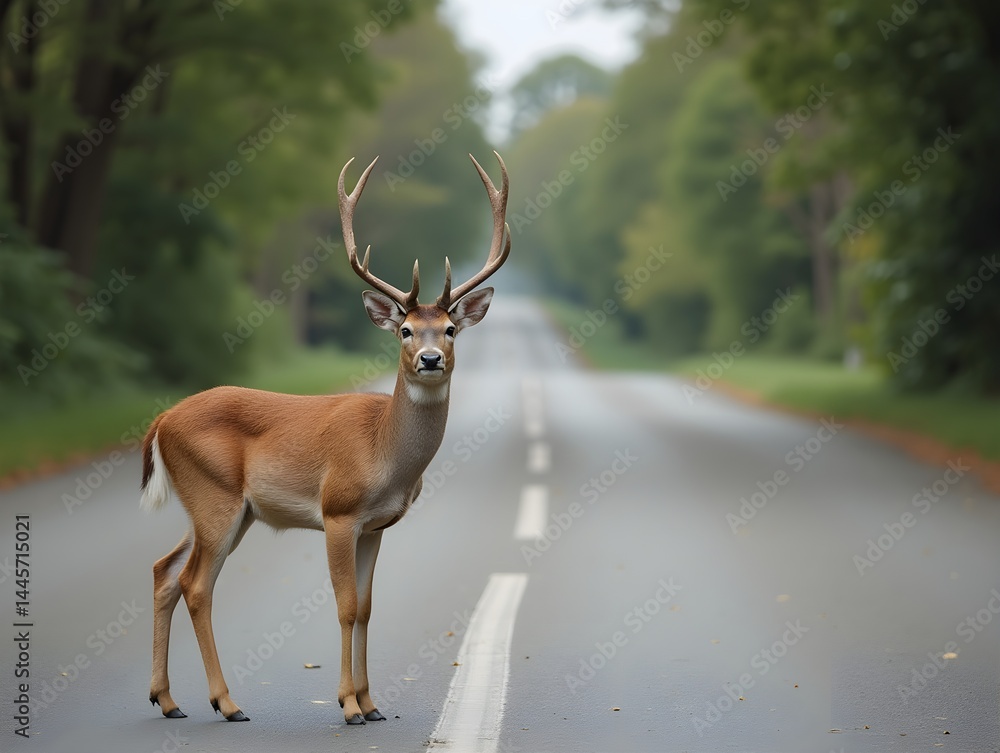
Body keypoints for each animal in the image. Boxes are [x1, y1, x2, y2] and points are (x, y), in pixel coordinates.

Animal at [140, 152, 509, 726]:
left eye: (450, 330)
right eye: (406, 331)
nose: (430, 359)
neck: (385, 453)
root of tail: (161, 420)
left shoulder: (377, 526)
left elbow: (369, 607)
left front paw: (373, 703)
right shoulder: (338, 512)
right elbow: (344, 605)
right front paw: (349, 705)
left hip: (220, 507)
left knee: (164, 570)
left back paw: (168, 699)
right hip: (215, 497)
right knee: (194, 585)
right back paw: (226, 703)